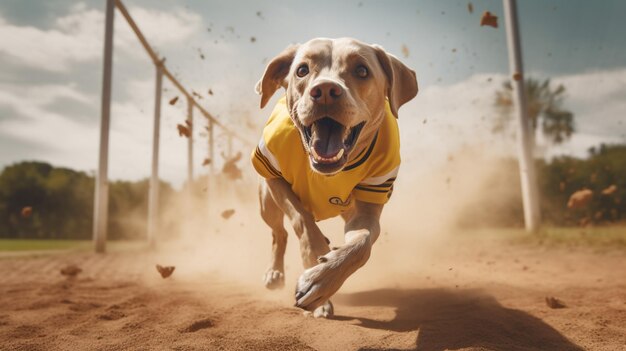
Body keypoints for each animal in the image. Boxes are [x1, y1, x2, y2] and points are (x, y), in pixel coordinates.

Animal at [251, 38, 416, 320]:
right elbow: (303, 222)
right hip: (266, 202)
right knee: (278, 232)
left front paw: (321, 279)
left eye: (362, 70)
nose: (326, 90)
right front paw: (316, 269)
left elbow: (362, 245)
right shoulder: (273, 170)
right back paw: (275, 271)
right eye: (302, 70)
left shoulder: (370, 203)